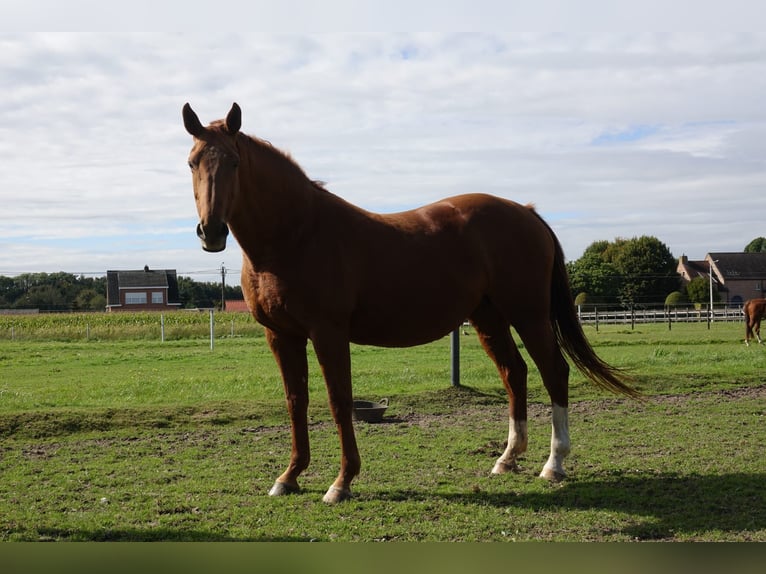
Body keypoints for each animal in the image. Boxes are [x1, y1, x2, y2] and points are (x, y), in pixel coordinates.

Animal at [182, 102, 639, 503]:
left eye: (234, 162)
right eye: (192, 162)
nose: (211, 232)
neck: (296, 234)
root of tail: (526, 212)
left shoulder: (328, 333)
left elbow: (339, 401)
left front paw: (342, 482)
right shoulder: (281, 336)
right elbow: (297, 402)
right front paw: (290, 476)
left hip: (528, 314)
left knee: (553, 372)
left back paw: (554, 463)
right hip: (489, 317)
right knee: (515, 373)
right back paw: (507, 459)